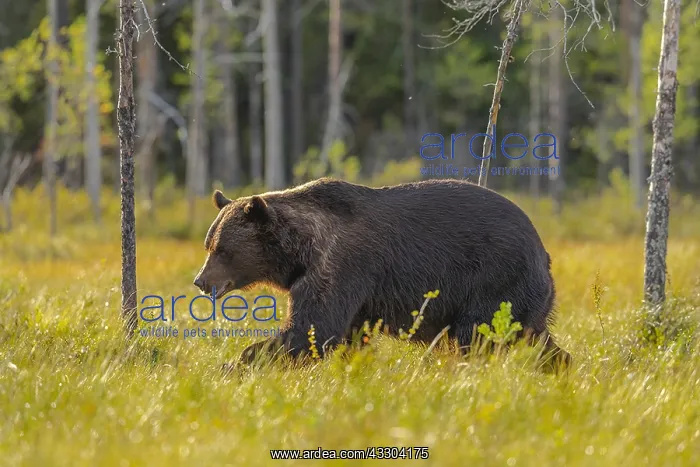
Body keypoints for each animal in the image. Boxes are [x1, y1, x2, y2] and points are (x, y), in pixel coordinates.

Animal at [193, 177, 569, 367]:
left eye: (221, 249)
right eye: (208, 243)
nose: (200, 281)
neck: (300, 249)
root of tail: (543, 250)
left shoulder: (342, 265)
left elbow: (312, 330)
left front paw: (238, 362)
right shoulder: (350, 292)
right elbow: (342, 334)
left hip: (495, 279)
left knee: (479, 335)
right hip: (525, 296)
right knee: (535, 337)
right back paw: (560, 367)